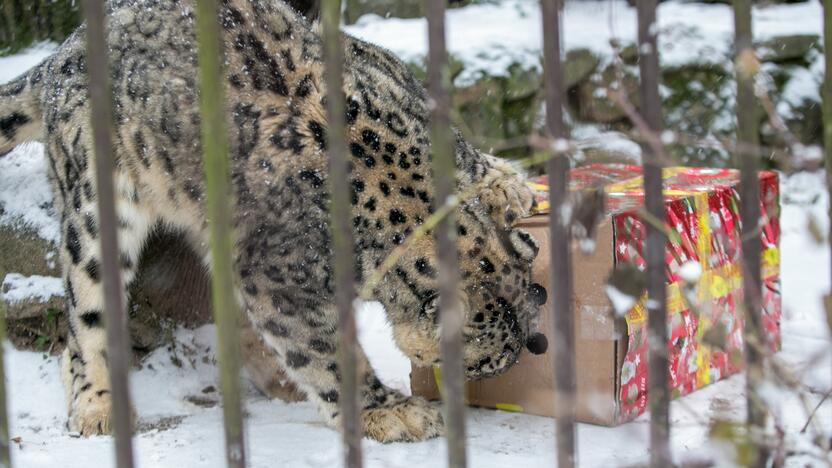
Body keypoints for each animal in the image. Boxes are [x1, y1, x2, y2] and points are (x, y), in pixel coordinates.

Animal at [0, 0, 544, 442]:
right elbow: (326, 350)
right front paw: (386, 410)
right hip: (94, 203)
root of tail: (65, 49)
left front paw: (505, 183)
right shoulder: (280, 280)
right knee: (85, 314)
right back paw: (97, 405)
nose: (534, 344)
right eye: (489, 358)